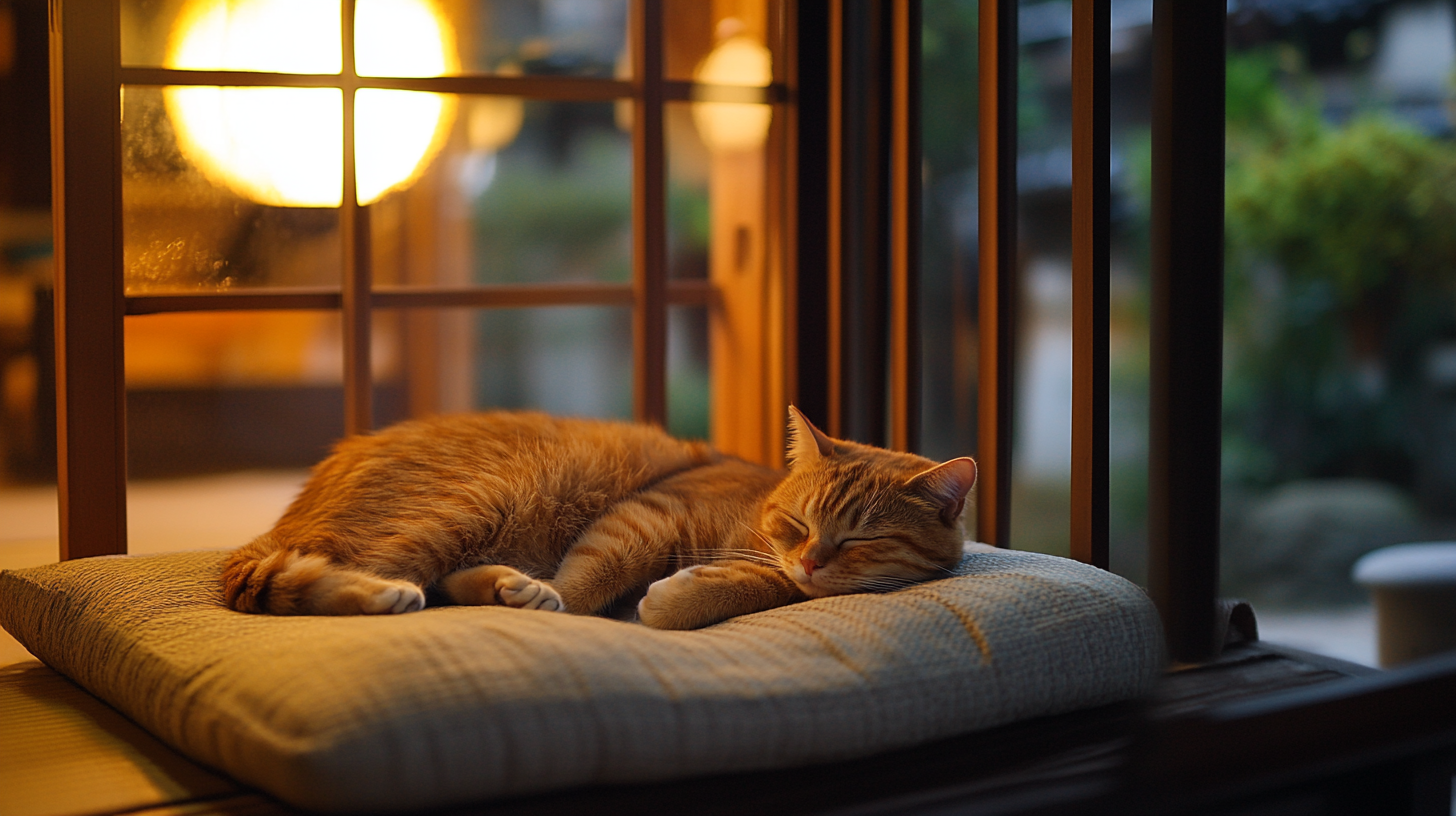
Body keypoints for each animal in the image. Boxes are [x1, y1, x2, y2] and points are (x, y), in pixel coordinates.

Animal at [221, 408, 978, 632]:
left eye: (863, 538)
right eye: (795, 523)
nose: (811, 557)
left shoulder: (772, 572)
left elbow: (746, 584)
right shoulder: (647, 516)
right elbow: (586, 584)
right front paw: (564, 602)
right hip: (475, 504)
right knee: (368, 572)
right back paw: (387, 595)